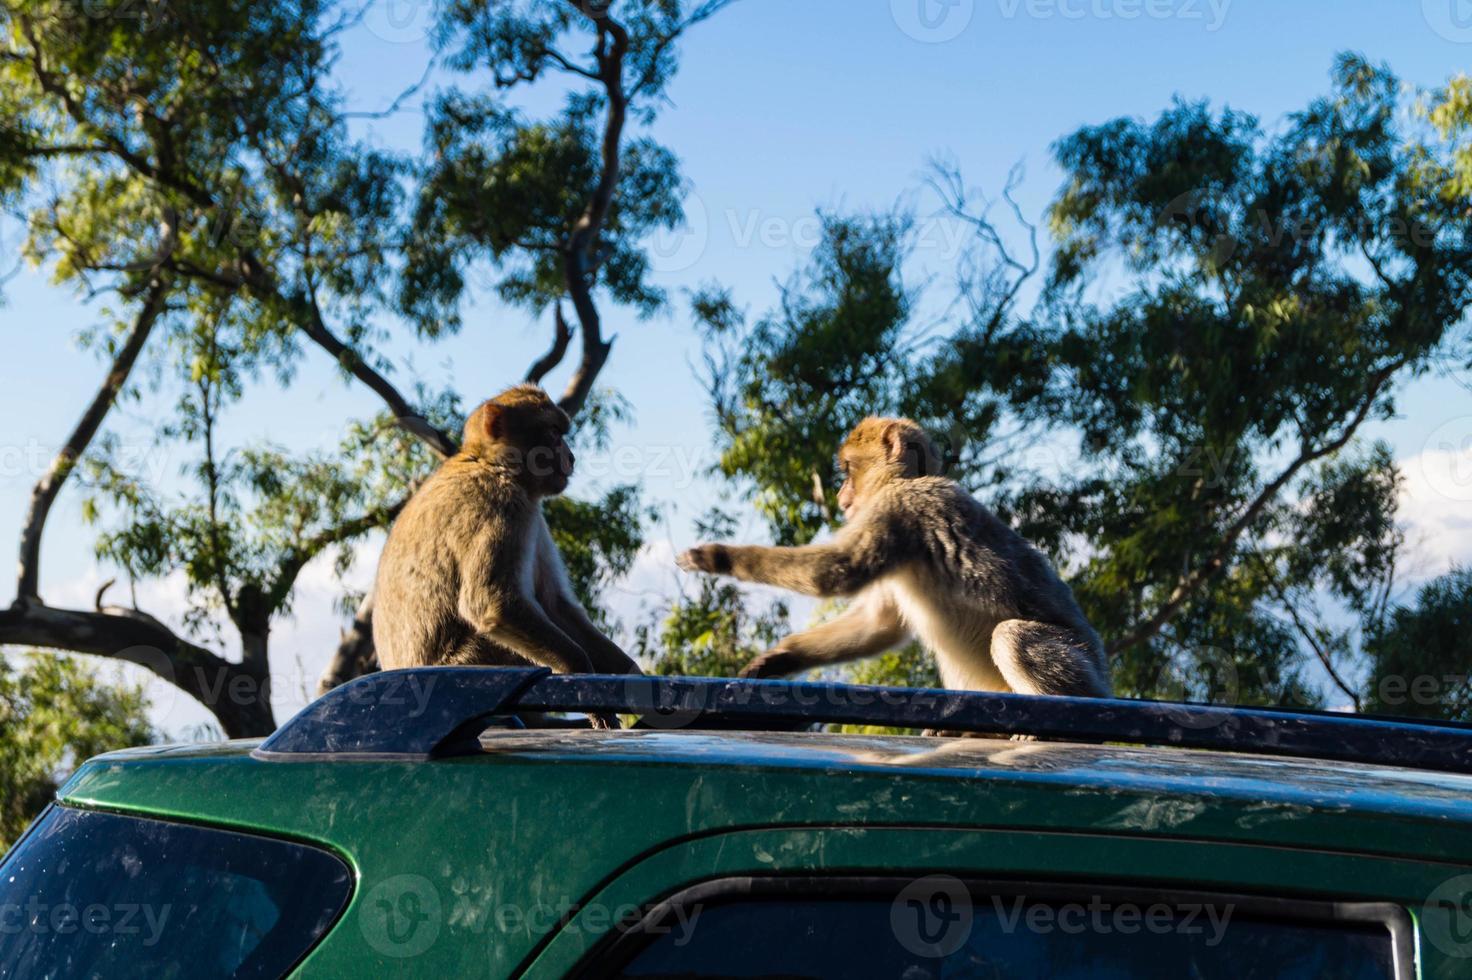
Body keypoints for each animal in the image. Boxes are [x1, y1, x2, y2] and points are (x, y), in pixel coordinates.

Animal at [373, 385, 638, 721]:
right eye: (554, 433)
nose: (571, 457)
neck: (489, 463)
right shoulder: (502, 504)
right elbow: (494, 604)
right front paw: (585, 680)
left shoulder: (531, 512)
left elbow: (554, 604)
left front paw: (631, 675)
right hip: (463, 666)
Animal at [674, 414, 1106, 697]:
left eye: (848, 470)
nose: (841, 494)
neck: (905, 480)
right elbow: (877, 624)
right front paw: (779, 658)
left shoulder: (900, 506)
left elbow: (834, 572)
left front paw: (717, 557)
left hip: (1086, 668)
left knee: (1011, 636)